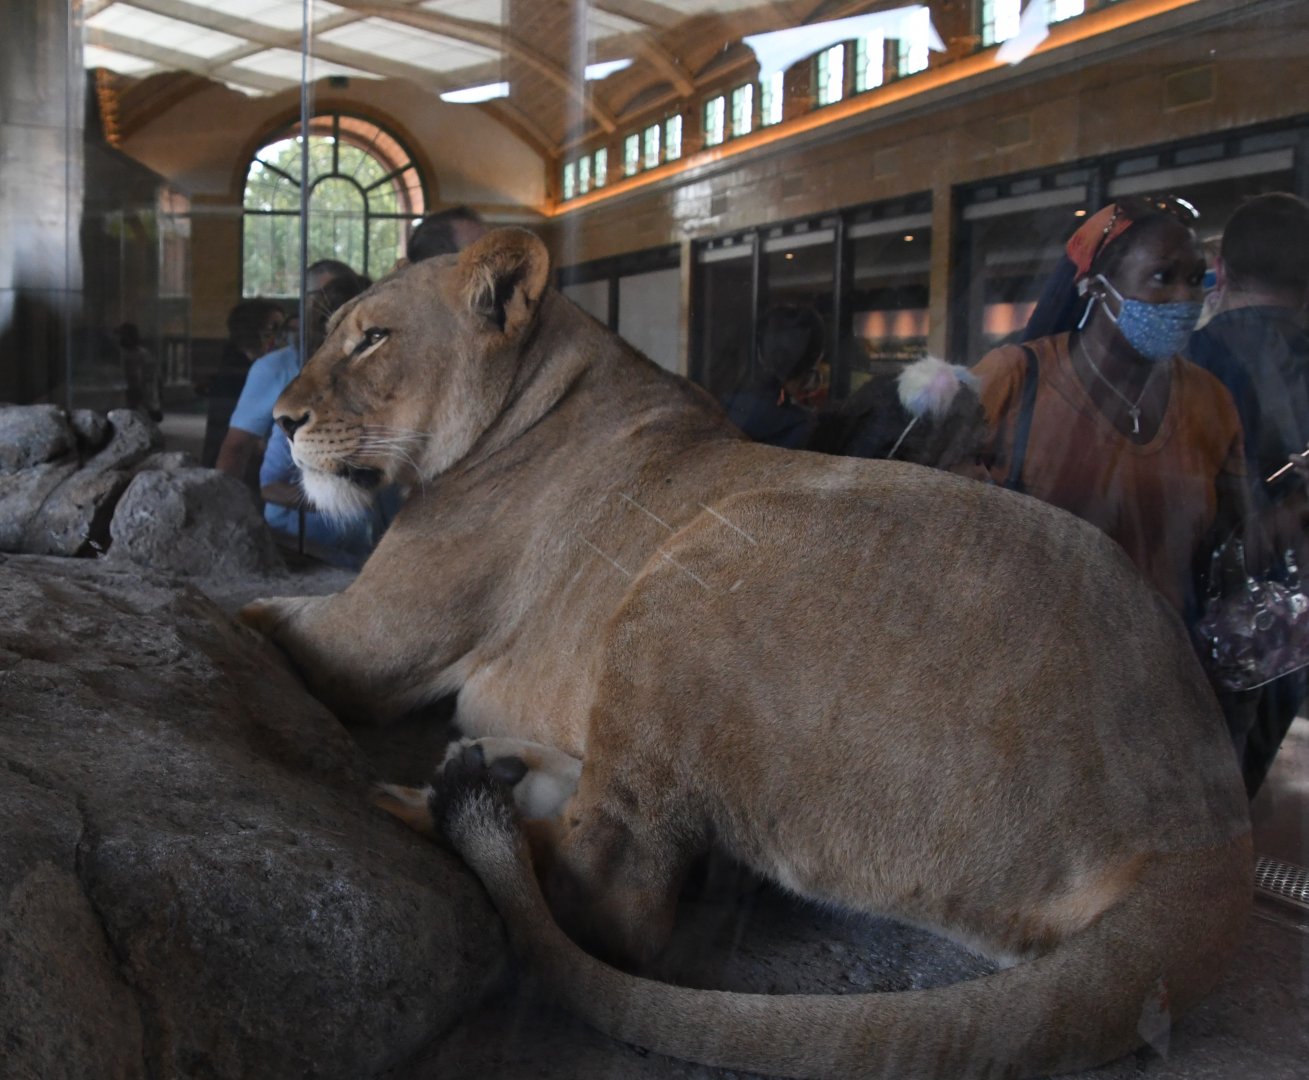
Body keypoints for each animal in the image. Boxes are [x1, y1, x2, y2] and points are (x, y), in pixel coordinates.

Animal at [239, 227, 1252, 1079]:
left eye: (371, 340)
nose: (283, 421)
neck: (550, 380)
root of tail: (1202, 828)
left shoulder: (371, 642)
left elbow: (256, 616)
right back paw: (493, 765)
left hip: (694, 570)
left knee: (618, 898)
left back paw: (434, 804)